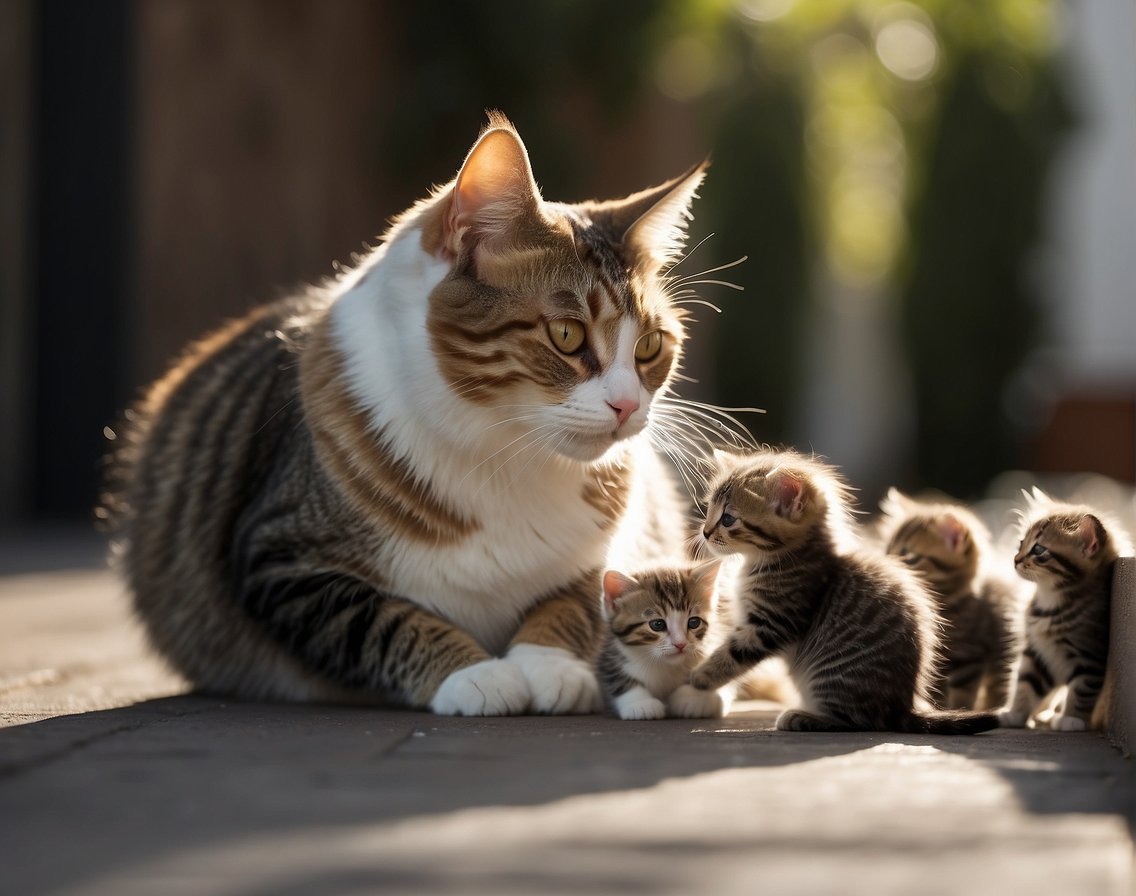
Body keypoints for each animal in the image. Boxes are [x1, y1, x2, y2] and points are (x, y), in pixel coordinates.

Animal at [599, 558, 731, 722]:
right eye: (657, 624)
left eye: (694, 622)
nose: (680, 644)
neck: (664, 665)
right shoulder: (612, 653)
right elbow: (616, 676)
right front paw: (640, 702)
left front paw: (693, 698)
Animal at [667, 447, 999, 735]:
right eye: (708, 509)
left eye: (728, 519)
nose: (704, 532)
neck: (776, 559)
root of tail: (901, 706)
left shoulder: (772, 622)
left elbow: (732, 655)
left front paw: (699, 677)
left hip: (830, 678)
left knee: (859, 721)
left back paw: (802, 717)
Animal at [876, 486, 1031, 708]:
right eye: (888, 551)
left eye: (910, 558)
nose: (891, 566)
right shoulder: (934, 662)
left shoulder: (969, 656)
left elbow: (962, 695)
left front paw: (961, 710)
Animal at [999, 486, 1131, 731]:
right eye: (1021, 542)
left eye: (1038, 549)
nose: (1015, 559)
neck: (1049, 601)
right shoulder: (1037, 652)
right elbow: (1025, 683)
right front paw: (1015, 714)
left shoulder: (1089, 655)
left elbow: (1082, 690)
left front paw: (1072, 718)